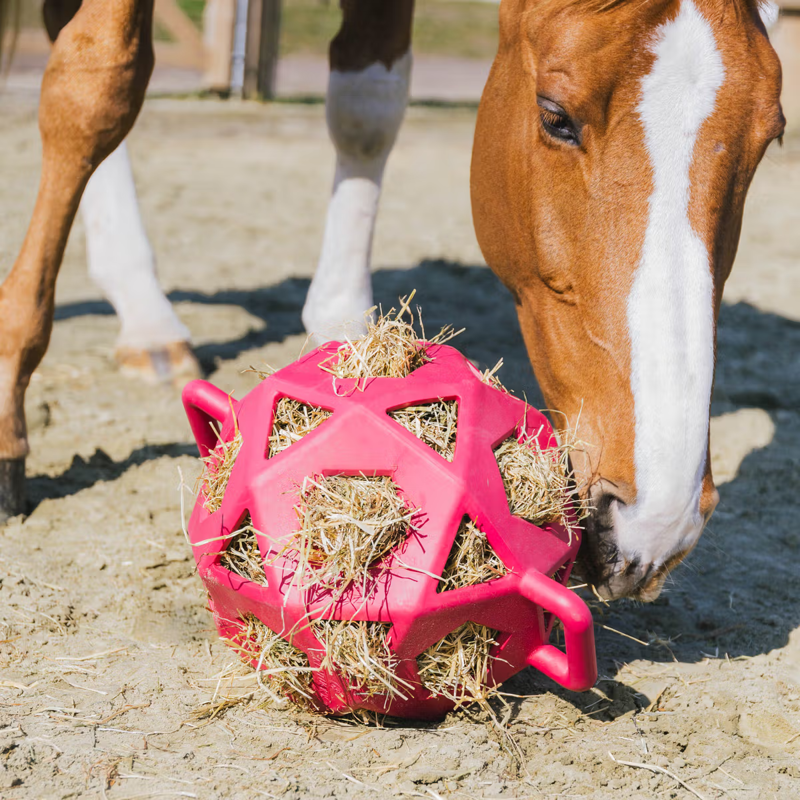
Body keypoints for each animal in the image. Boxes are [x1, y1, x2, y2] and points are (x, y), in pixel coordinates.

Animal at [0, 0, 784, 602]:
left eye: (769, 138)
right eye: (556, 116)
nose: (657, 522)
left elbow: (367, 103)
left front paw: (347, 332)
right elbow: (94, 90)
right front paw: (9, 395)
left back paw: (145, 316)